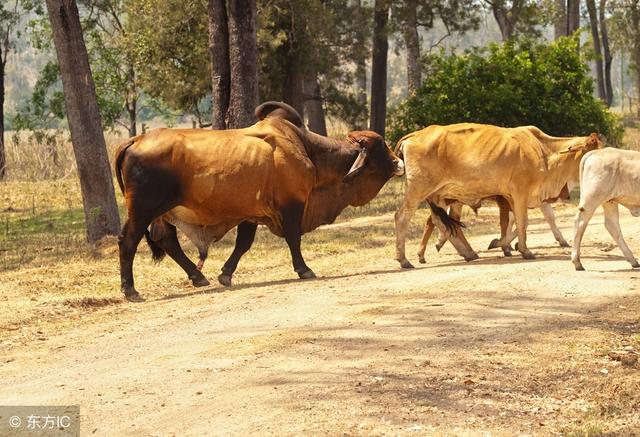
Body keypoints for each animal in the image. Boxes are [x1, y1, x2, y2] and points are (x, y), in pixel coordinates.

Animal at [114, 101, 404, 300]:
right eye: (380, 146)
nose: (398, 161)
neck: (308, 150)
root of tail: (136, 139)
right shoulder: (292, 205)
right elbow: (294, 239)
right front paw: (304, 269)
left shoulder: (252, 213)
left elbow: (243, 244)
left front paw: (225, 274)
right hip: (143, 209)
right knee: (128, 241)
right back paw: (130, 291)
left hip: (162, 212)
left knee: (168, 241)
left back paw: (198, 277)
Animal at [396, 121, 604, 268]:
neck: (545, 152)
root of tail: (414, 135)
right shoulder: (520, 193)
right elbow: (523, 222)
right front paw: (524, 250)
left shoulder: (514, 198)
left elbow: (514, 224)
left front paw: (504, 244)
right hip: (419, 189)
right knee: (402, 217)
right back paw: (404, 260)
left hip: (440, 196)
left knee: (441, 222)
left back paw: (468, 253)